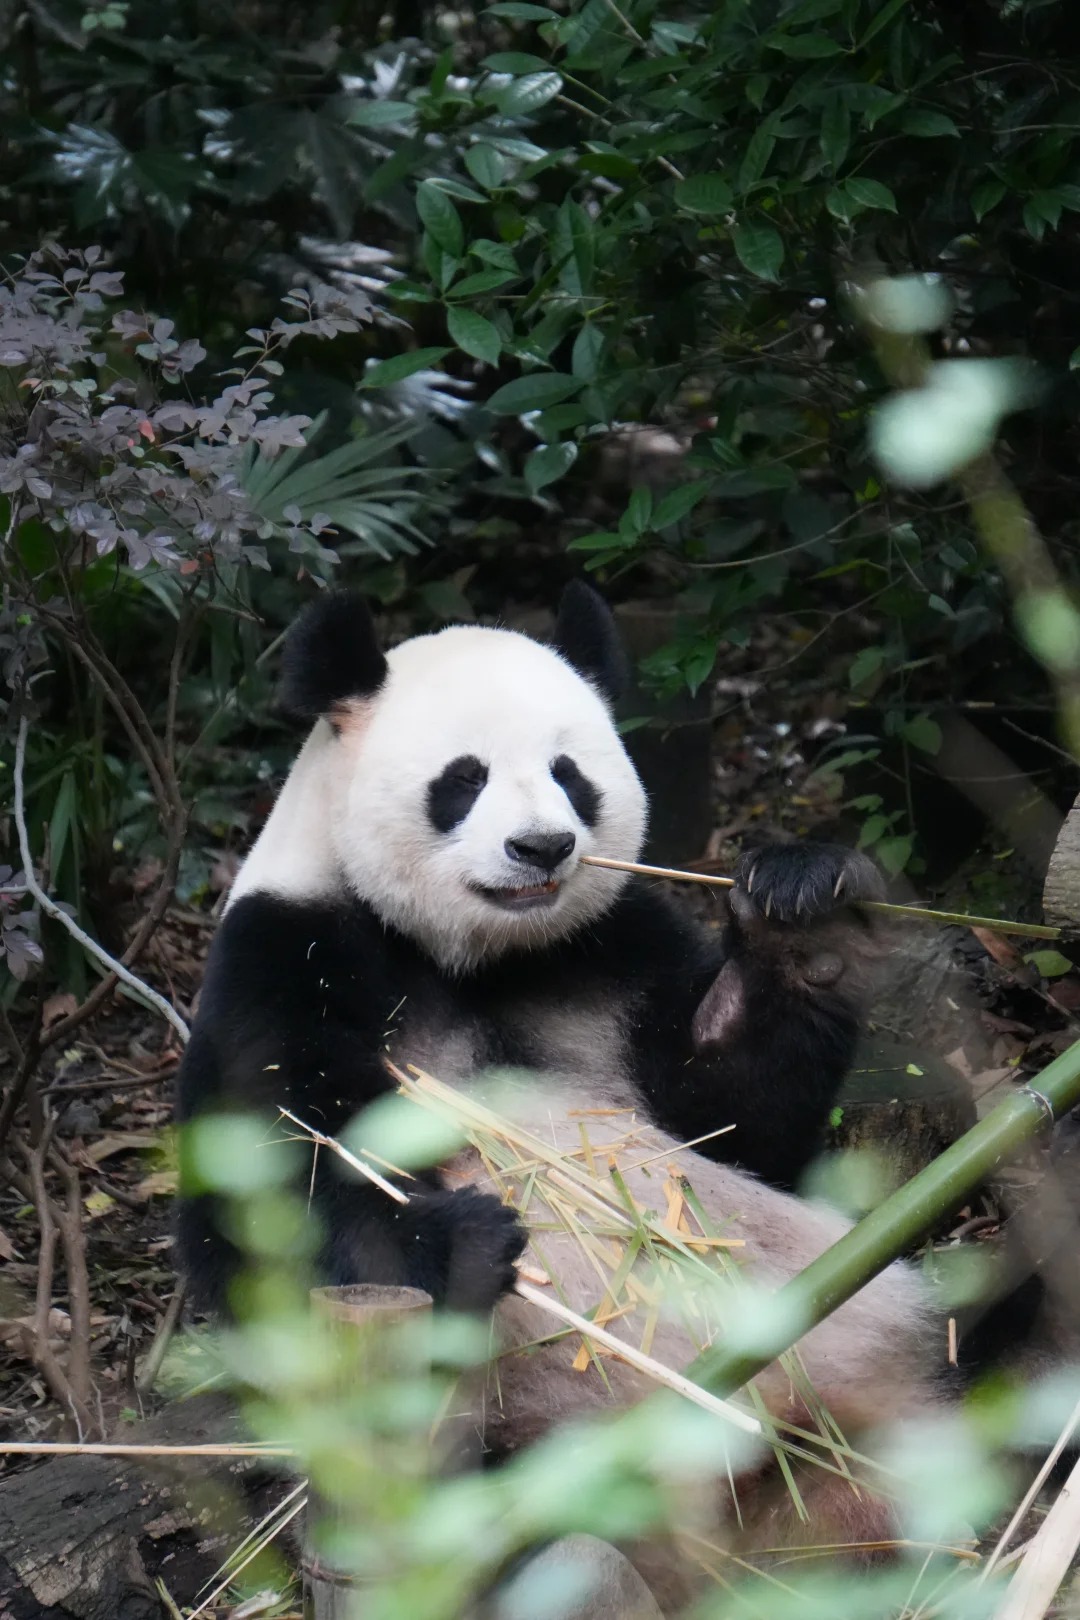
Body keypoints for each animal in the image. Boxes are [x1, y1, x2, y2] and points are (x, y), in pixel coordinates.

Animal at [175, 582, 945, 1600]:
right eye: (462, 778)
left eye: (570, 773)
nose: (541, 847)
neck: (477, 955)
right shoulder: (286, 956)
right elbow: (264, 1191)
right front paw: (458, 1242)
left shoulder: (612, 951)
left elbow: (740, 1128)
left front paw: (800, 913)